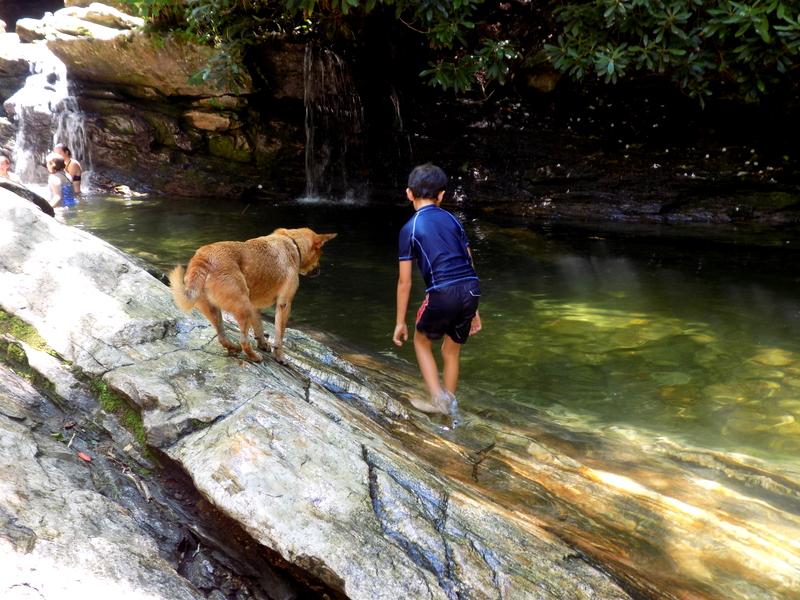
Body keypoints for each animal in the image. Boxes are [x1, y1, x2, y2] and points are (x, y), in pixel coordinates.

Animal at [170, 228, 336, 364]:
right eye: (320, 254)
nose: (319, 270)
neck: (292, 243)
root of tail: (203, 257)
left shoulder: (255, 306)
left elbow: (259, 328)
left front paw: (263, 345)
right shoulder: (284, 304)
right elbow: (279, 336)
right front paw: (279, 357)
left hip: (216, 309)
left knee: (223, 338)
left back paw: (234, 348)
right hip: (244, 307)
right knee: (244, 341)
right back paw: (255, 357)